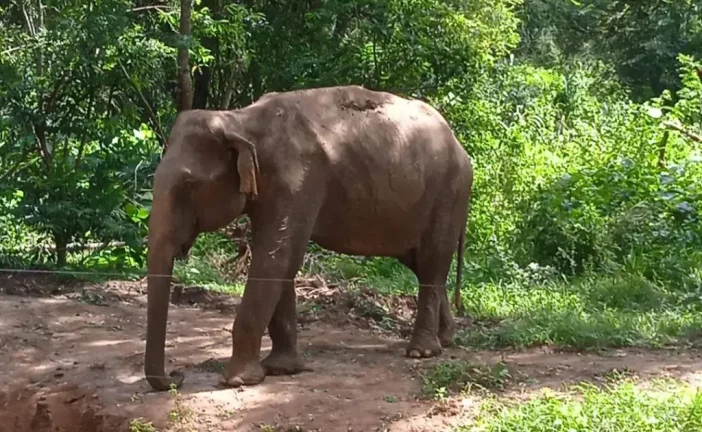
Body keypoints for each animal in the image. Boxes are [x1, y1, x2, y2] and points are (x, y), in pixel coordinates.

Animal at [144, 84, 472, 392]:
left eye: (188, 185)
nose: (177, 376)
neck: (240, 120)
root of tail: (460, 146)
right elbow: (281, 261)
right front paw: (281, 369)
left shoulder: (299, 178)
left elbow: (275, 257)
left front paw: (238, 381)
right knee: (423, 264)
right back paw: (445, 339)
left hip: (449, 193)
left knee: (432, 260)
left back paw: (422, 352)